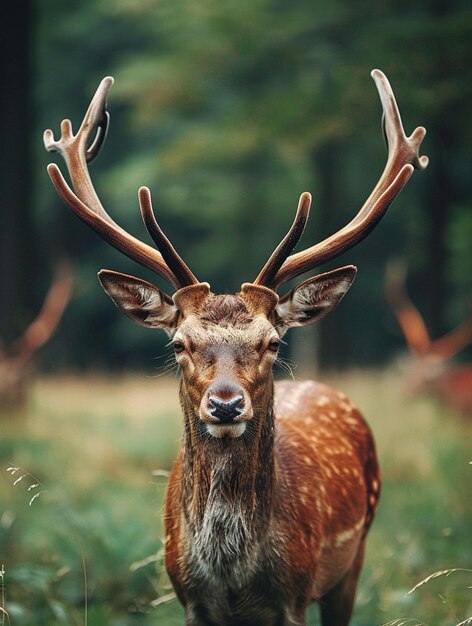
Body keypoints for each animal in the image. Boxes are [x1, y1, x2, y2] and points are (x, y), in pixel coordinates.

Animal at [44, 69, 428, 624]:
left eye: (272, 341)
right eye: (179, 343)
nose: (225, 404)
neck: (231, 573)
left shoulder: (293, 596)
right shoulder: (189, 598)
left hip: (353, 559)